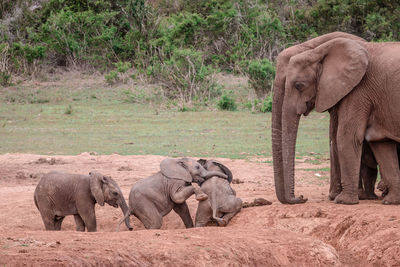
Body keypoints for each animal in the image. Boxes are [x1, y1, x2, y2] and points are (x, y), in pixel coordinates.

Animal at [272, 32, 400, 206]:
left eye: (299, 85)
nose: (301, 197)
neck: (318, 49)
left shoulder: (358, 90)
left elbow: (345, 137)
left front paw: (342, 200)